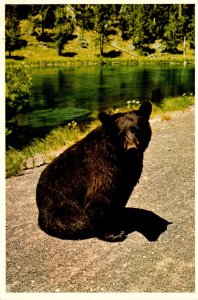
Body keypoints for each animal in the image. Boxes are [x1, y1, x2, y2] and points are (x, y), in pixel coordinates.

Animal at [36, 102, 152, 243]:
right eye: (120, 134)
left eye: (137, 130)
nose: (131, 149)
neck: (121, 159)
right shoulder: (100, 169)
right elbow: (98, 199)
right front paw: (114, 233)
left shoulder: (127, 174)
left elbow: (122, 194)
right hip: (60, 207)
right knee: (78, 222)